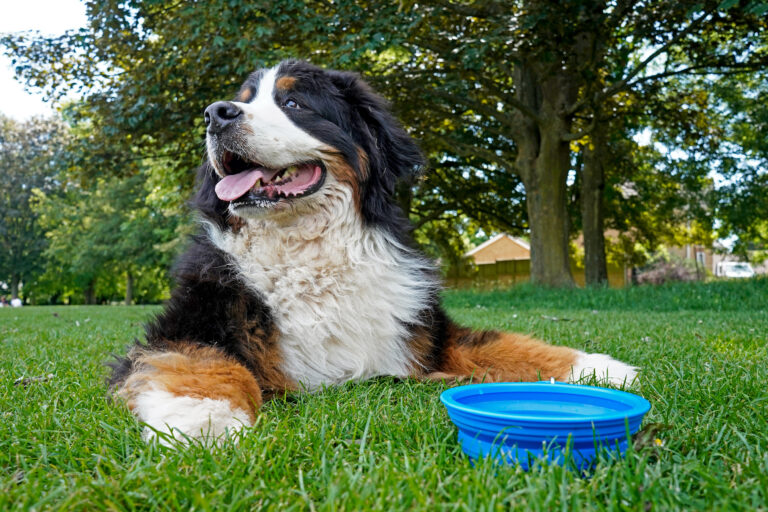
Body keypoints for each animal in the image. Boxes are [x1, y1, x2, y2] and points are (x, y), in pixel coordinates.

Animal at [109, 59, 636, 444]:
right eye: (240, 101)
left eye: (294, 101)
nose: (215, 114)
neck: (311, 251)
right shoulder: (187, 326)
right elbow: (203, 363)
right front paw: (204, 416)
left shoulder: (424, 334)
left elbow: (504, 344)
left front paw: (596, 366)